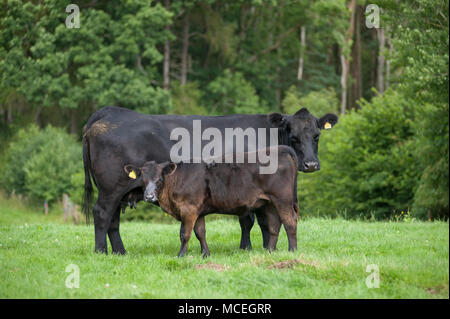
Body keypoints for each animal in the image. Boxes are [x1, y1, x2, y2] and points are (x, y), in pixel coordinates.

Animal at [81, 107, 338, 255]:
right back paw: (101, 251)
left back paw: (120, 252)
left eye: (316, 136)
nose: (311, 164)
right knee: (102, 214)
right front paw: (251, 248)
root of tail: (108, 113)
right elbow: (255, 221)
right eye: (293, 136)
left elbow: (257, 222)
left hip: (117, 191)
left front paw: (259, 249)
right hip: (111, 189)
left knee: (113, 221)